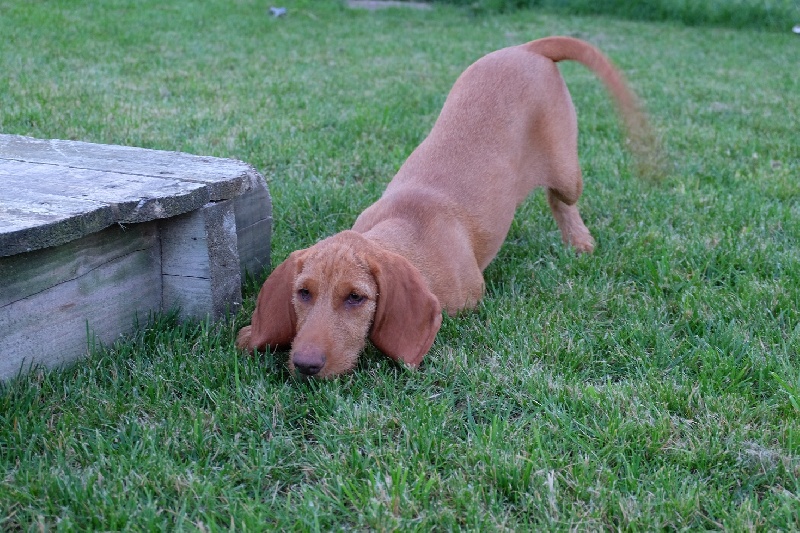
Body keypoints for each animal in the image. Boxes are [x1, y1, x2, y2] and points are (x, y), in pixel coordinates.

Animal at [236, 36, 656, 377]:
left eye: (356, 298)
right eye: (303, 293)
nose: (304, 365)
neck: (404, 229)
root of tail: (526, 48)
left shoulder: (466, 300)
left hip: (567, 169)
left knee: (560, 198)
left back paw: (579, 241)